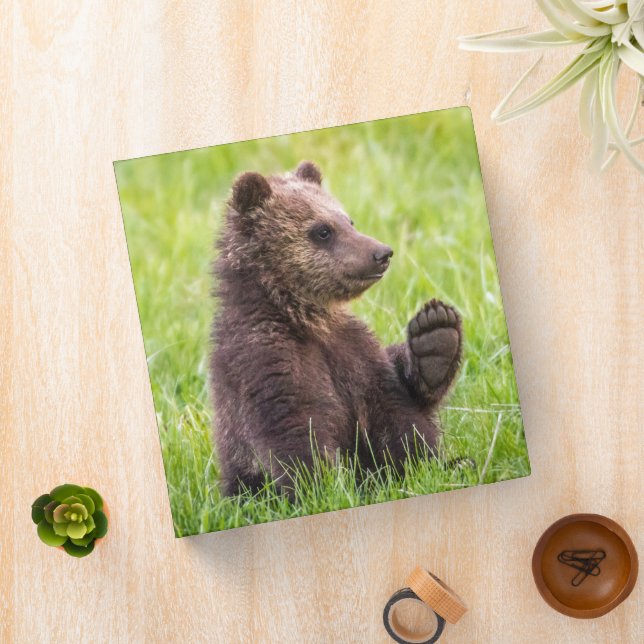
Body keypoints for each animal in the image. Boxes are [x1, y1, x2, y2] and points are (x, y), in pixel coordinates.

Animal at [210, 161, 462, 496]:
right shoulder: (265, 357)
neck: (306, 318)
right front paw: (322, 487)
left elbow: (397, 413)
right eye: (322, 230)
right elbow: (296, 428)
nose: (382, 253)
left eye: (348, 220)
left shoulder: (355, 352)